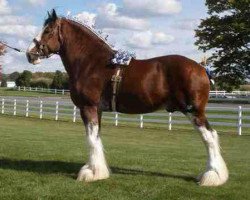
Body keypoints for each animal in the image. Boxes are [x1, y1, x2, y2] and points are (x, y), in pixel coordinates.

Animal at [25, 10, 229, 187]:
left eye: (48, 30)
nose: (29, 53)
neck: (91, 63)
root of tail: (201, 67)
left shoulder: (88, 107)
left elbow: (90, 139)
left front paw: (91, 173)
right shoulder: (97, 110)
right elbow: (96, 138)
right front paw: (99, 171)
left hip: (193, 111)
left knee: (210, 137)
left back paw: (212, 176)